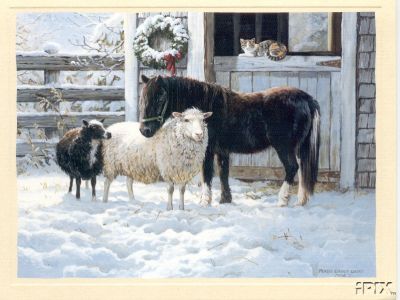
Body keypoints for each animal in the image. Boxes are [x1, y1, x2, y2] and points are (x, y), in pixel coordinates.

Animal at [139, 75, 320, 206]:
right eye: (143, 98)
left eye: (161, 98)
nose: (144, 130)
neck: (207, 109)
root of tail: (307, 99)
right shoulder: (222, 151)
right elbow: (223, 173)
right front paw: (225, 199)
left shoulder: (208, 150)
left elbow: (207, 174)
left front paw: (205, 201)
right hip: (299, 147)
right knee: (302, 169)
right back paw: (301, 201)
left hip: (284, 147)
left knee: (292, 168)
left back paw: (282, 200)